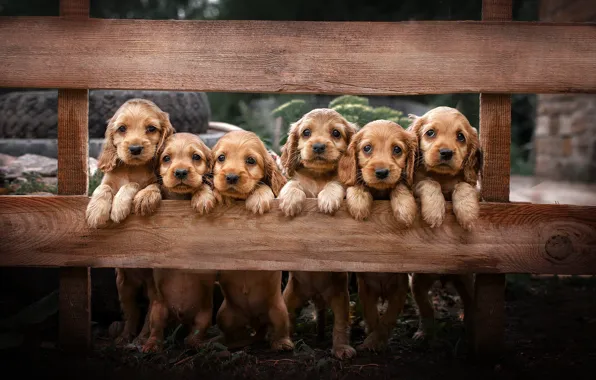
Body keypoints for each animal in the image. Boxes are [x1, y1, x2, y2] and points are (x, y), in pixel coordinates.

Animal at [87, 98, 173, 344]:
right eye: (122, 129)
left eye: (151, 129)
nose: (135, 149)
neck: (131, 168)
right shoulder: (107, 180)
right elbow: (104, 188)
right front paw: (96, 210)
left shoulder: (155, 184)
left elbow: (135, 185)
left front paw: (122, 205)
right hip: (123, 286)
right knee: (132, 312)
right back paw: (124, 337)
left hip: (153, 286)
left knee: (151, 312)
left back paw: (142, 339)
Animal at [278, 107, 356, 360]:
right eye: (306, 133)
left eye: (336, 133)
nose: (319, 146)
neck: (318, 176)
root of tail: (316, 295)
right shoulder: (298, 181)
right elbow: (293, 185)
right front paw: (289, 200)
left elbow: (336, 185)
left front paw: (328, 198)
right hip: (290, 297)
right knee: (287, 318)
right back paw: (285, 342)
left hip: (340, 299)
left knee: (340, 325)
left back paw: (340, 348)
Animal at [338, 120, 416, 352]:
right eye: (366, 148)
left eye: (397, 150)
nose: (381, 172)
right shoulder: (366, 290)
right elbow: (372, 315)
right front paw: (359, 202)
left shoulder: (400, 291)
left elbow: (388, 319)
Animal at [406, 107, 480, 342]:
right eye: (430, 133)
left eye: (461, 137)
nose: (446, 152)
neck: (443, 177)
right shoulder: (417, 183)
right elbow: (428, 182)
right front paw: (434, 210)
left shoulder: (472, 188)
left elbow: (463, 186)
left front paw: (467, 212)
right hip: (418, 281)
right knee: (427, 307)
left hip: (465, 280)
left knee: (470, 304)